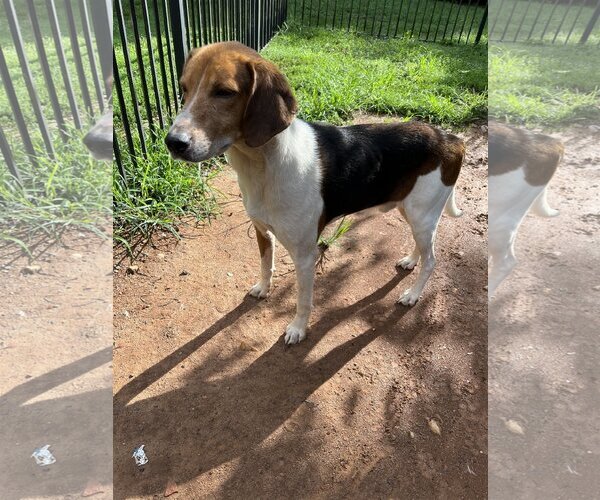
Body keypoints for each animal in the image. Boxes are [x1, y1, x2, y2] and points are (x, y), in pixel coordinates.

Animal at [164, 42, 464, 344]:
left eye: (224, 92)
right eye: (184, 88)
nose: (173, 142)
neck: (264, 164)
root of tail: (450, 139)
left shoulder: (305, 255)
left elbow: (303, 300)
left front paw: (298, 329)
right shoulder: (262, 231)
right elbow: (265, 265)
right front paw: (263, 289)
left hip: (422, 215)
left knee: (432, 260)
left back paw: (413, 294)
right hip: (411, 211)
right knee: (422, 249)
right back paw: (411, 261)